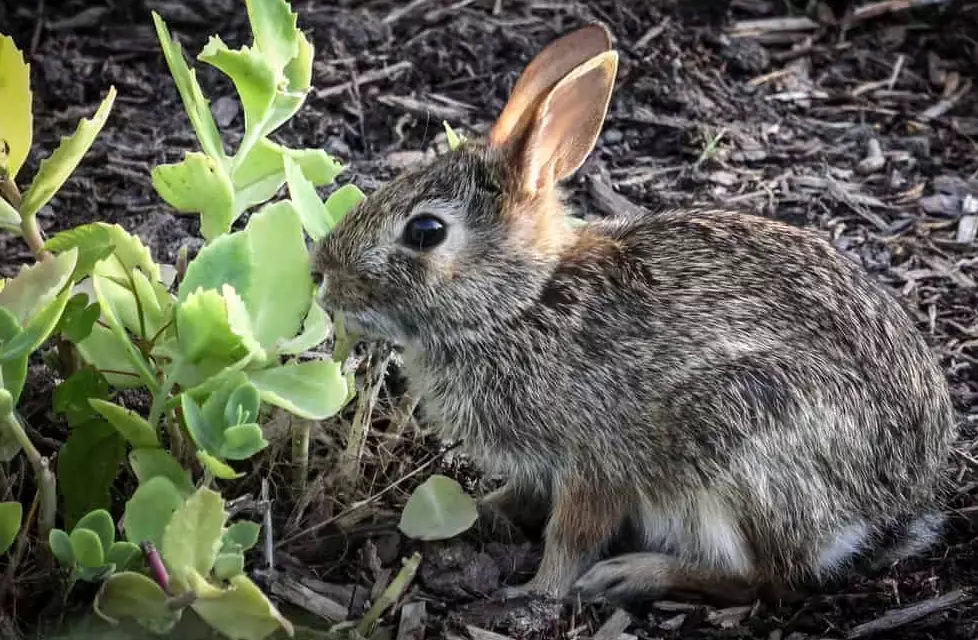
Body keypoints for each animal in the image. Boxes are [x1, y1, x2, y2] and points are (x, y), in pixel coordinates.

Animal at [311, 23, 958, 604]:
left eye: (425, 231)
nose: (322, 275)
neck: (522, 303)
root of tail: (891, 507)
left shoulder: (596, 463)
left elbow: (572, 534)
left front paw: (536, 592)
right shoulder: (539, 467)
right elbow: (521, 497)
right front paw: (475, 513)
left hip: (740, 439)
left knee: (766, 579)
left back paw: (632, 577)